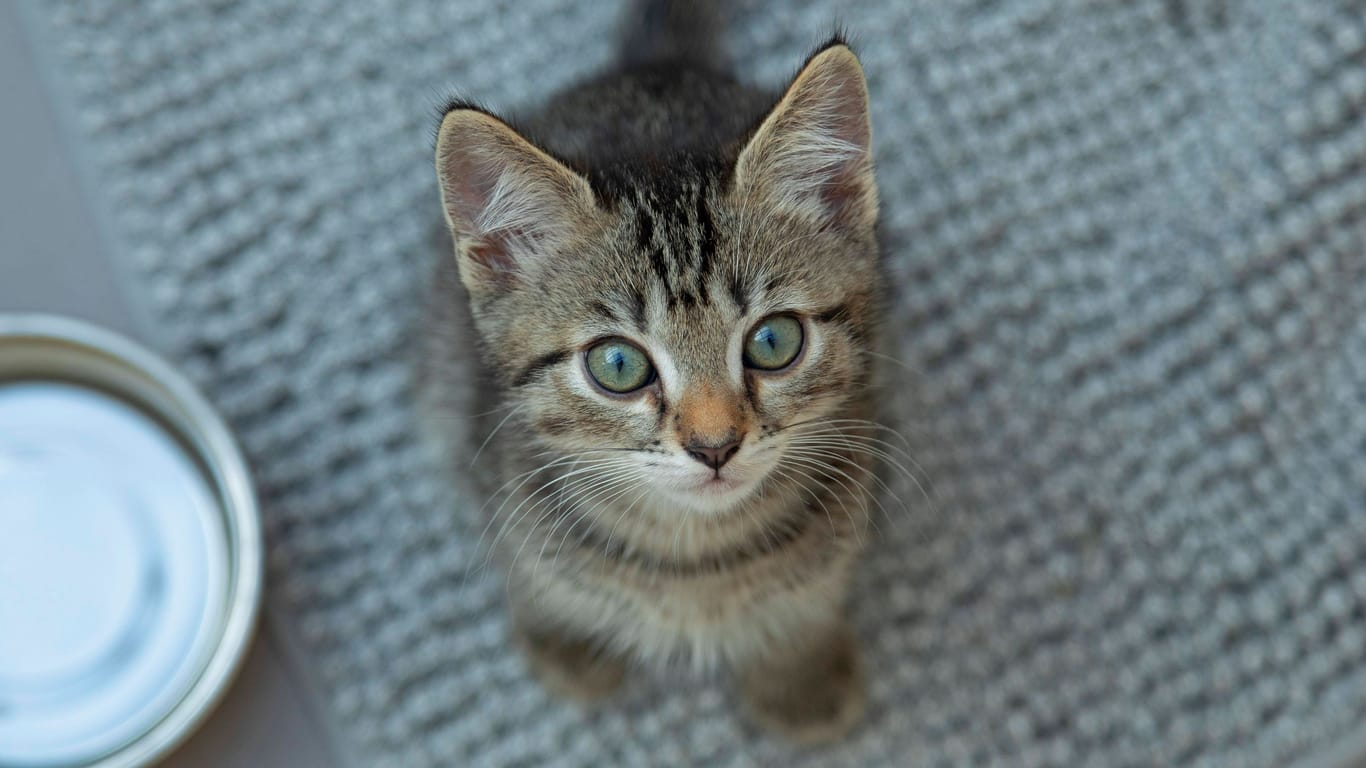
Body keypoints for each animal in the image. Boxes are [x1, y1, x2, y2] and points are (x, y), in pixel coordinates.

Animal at [420, 0, 879, 743]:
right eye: (618, 364)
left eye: (774, 340)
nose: (715, 445)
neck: (694, 556)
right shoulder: (491, 469)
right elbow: (534, 573)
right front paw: (566, 642)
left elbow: (811, 591)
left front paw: (798, 674)